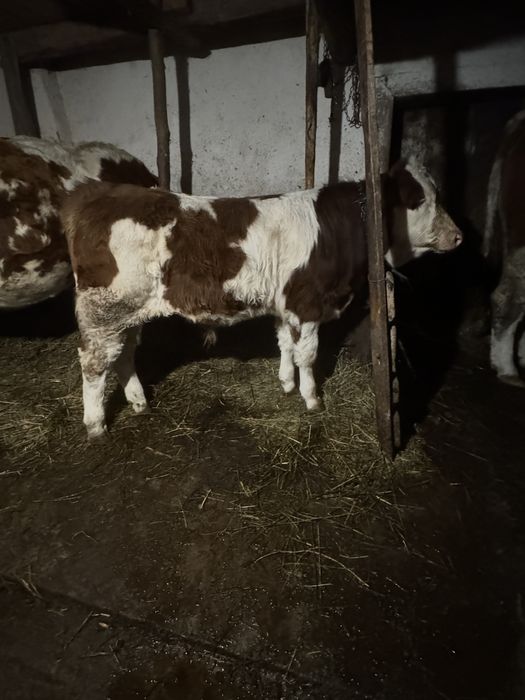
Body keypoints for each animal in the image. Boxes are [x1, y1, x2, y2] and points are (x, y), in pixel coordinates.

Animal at [61, 158, 462, 440]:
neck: (335, 229)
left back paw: (139, 402)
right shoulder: (307, 303)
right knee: (94, 364)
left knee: (124, 354)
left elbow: (285, 343)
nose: (458, 236)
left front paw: (286, 384)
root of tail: (95, 194)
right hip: (104, 311)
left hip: (127, 313)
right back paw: (96, 425)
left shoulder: (286, 305)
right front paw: (312, 398)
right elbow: (308, 355)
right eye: (418, 199)